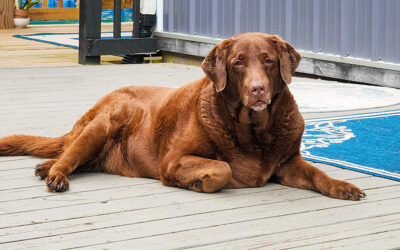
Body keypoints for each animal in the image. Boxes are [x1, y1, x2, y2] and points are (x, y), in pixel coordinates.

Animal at [0, 33, 366, 200]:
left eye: (269, 61)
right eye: (238, 63)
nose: (258, 90)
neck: (254, 130)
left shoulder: (287, 162)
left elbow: (317, 174)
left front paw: (344, 186)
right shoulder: (174, 158)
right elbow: (223, 167)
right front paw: (196, 183)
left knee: (73, 156)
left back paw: (44, 167)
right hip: (106, 121)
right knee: (70, 156)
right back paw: (55, 175)